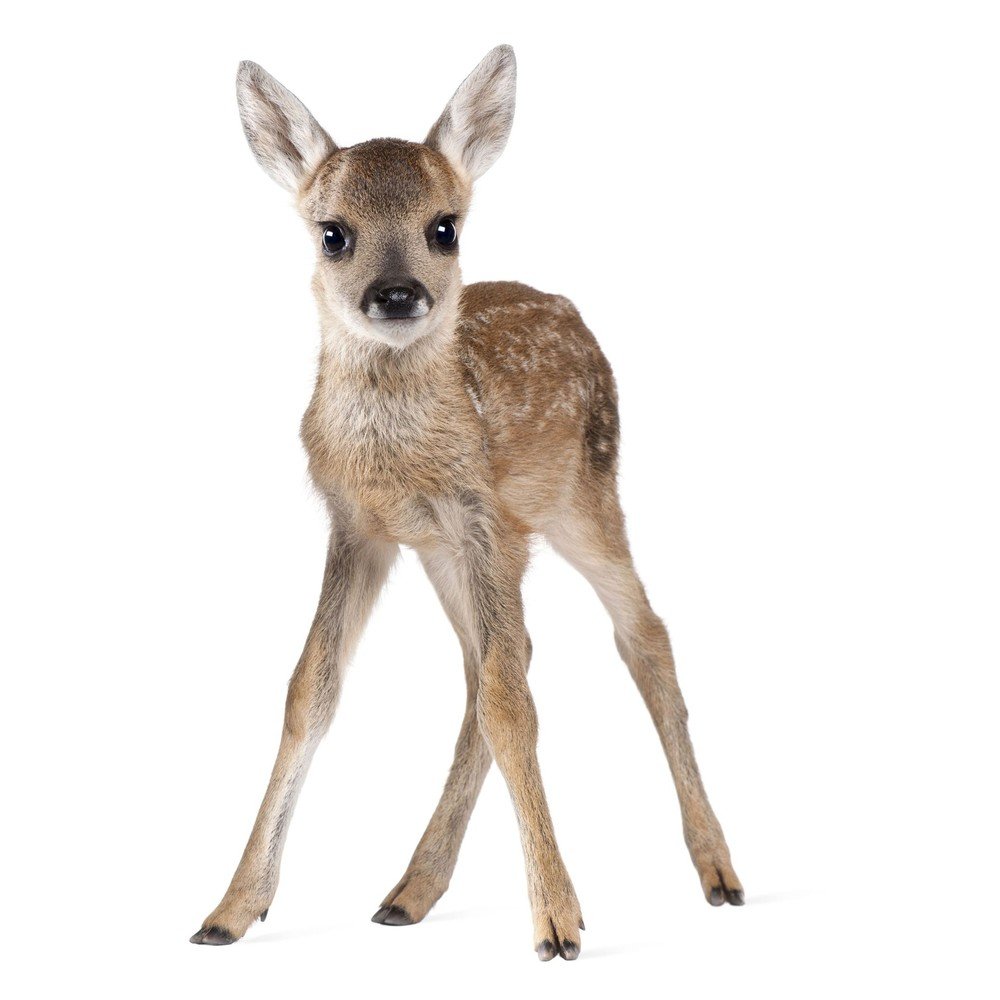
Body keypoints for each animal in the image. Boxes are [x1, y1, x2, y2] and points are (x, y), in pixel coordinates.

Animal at [189, 44, 743, 962]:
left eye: (444, 227)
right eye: (333, 233)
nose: (397, 294)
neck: (400, 460)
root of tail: (571, 310)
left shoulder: (481, 513)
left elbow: (510, 704)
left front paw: (556, 923)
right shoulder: (362, 528)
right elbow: (313, 690)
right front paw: (230, 909)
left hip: (583, 498)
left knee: (640, 637)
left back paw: (718, 871)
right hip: (462, 553)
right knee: (497, 663)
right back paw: (409, 891)